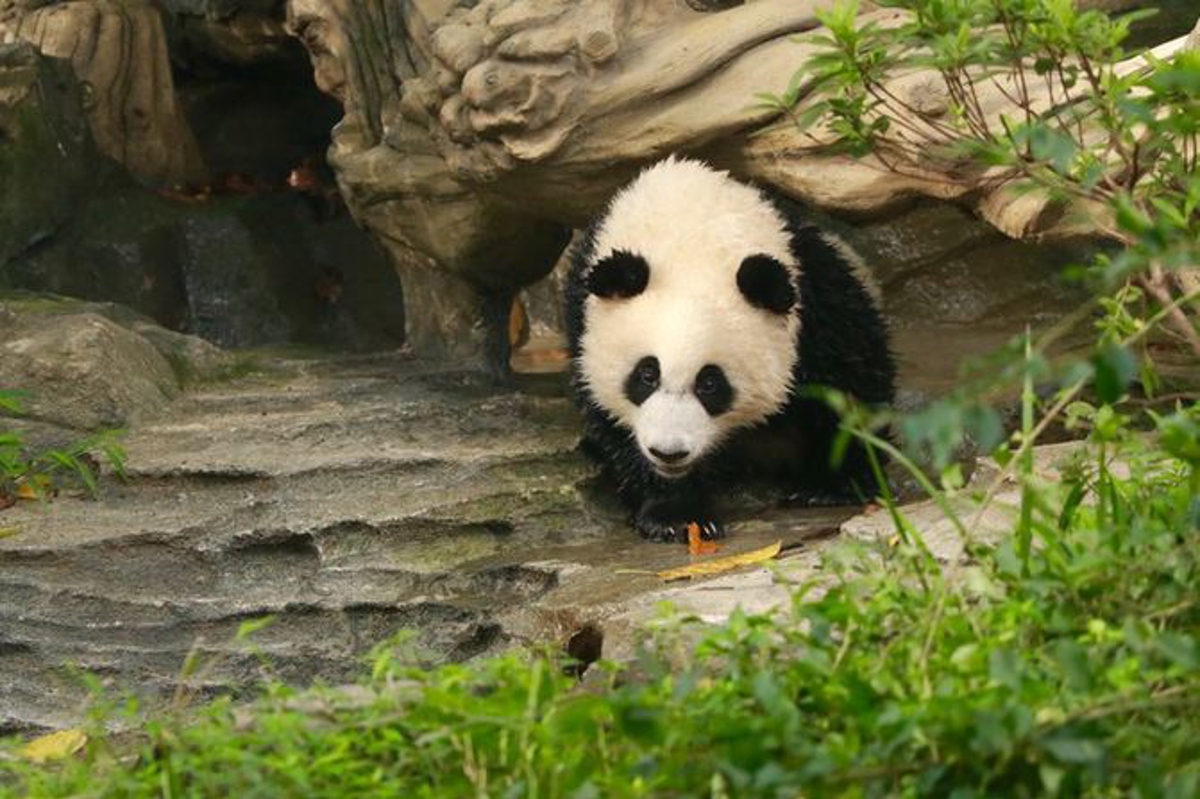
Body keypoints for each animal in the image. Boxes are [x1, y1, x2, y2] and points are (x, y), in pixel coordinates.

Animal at [564, 157, 896, 542]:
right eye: (646, 375)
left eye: (710, 383)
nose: (669, 452)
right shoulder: (582, 317)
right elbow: (609, 420)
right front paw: (676, 514)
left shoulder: (817, 293)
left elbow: (850, 379)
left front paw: (832, 483)